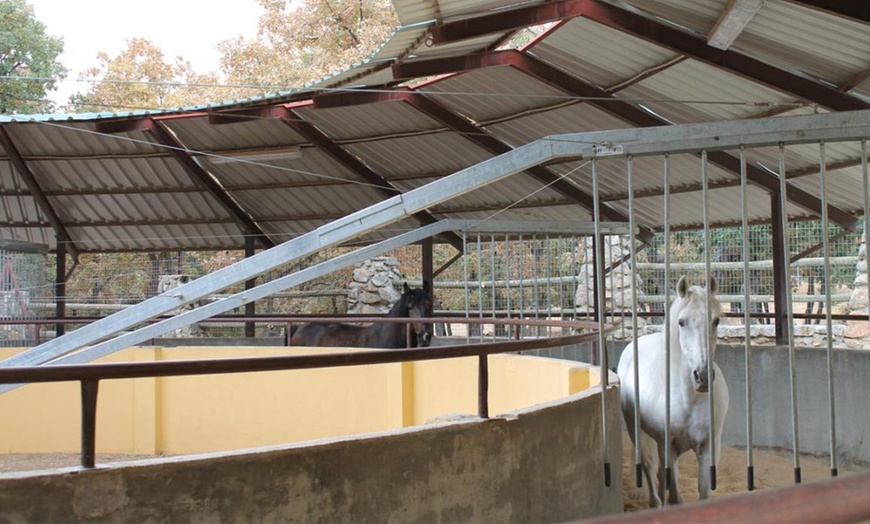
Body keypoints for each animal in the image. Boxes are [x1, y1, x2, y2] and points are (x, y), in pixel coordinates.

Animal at [616, 276, 732, 506]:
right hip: (636, 428)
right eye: (681, 322)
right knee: (649, 465)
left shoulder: (709, 449)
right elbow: (676, 498)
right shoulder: (669, 447)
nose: (702, 376)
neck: (690, 400)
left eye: (716, 321)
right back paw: (655, 502)